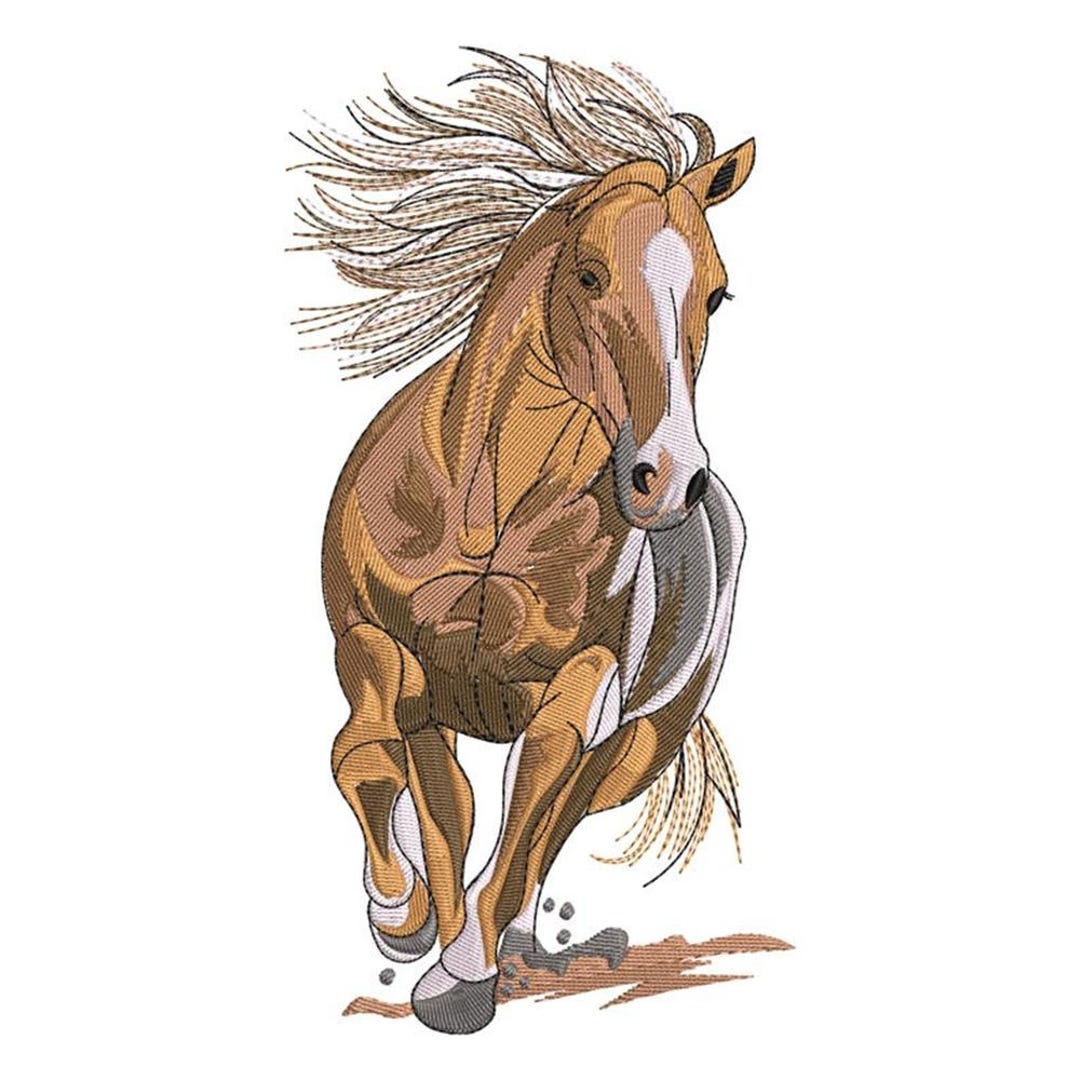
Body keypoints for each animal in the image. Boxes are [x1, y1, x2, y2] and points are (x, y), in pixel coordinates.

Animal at [293, 52, 754, 1034]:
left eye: (716, 290)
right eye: (587, 274)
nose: (668, 477)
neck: (490, 517)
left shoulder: (581, 686)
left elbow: (523, 814)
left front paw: (459, 976)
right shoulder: (375, 649)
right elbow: (372, 763)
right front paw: (397, 915)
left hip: (638, 746)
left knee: (550, 825)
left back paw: (514, 950)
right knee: (451, 804)